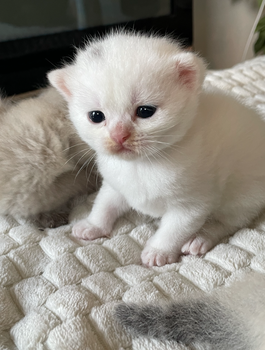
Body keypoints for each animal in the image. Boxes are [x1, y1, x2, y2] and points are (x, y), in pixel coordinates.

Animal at [48, 32, 265, 266]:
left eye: (145, 111)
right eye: (96, 116)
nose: (118, 136)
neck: (142, 164)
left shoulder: (192, 204)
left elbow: (173, 230)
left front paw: (158, 251)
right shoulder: (115, 182)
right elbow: (104, 202)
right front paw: (93, 224)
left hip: (244, 194)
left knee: (228, 222)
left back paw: (201, 238)